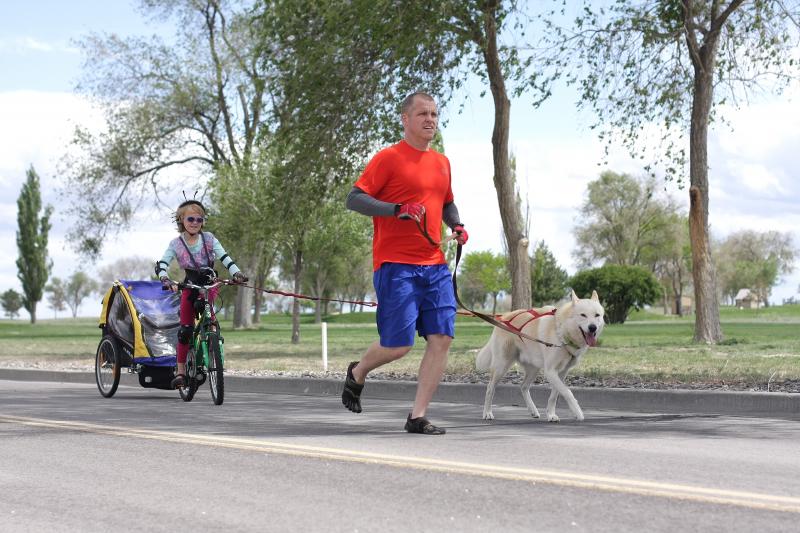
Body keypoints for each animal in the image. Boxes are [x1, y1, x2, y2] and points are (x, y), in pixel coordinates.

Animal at [478, 288, 604, 422]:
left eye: (597, 315)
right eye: (583, 315)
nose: (592, 327)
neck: (561, 331)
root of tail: (503, 317)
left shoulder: (562, 373)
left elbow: (555, 395)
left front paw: (551, 414)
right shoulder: (550, 371)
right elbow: (567, 392)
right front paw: (578, 412)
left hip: (534, 369)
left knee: (523, 387)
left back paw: (533, 410)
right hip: (501, 366)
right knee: (490, 388)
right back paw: (487, 413)